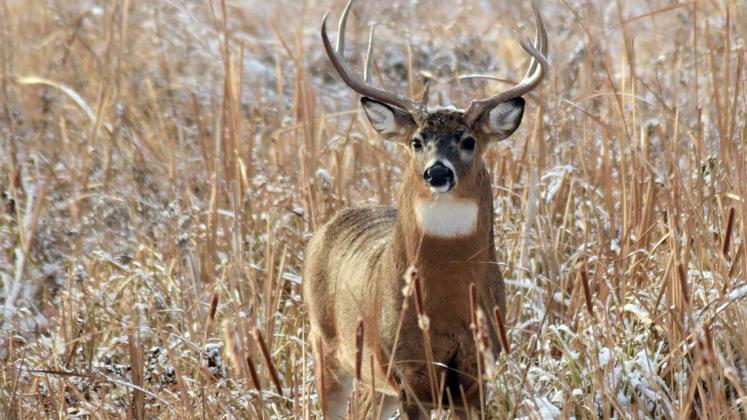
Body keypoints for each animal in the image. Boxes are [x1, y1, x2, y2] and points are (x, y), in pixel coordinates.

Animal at [303, 0, 548, 418]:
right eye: (417, 141)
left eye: (468, 140)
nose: (437, 172)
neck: (446, 305)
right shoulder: (408, 369)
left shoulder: (477, 370)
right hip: (327, 347)